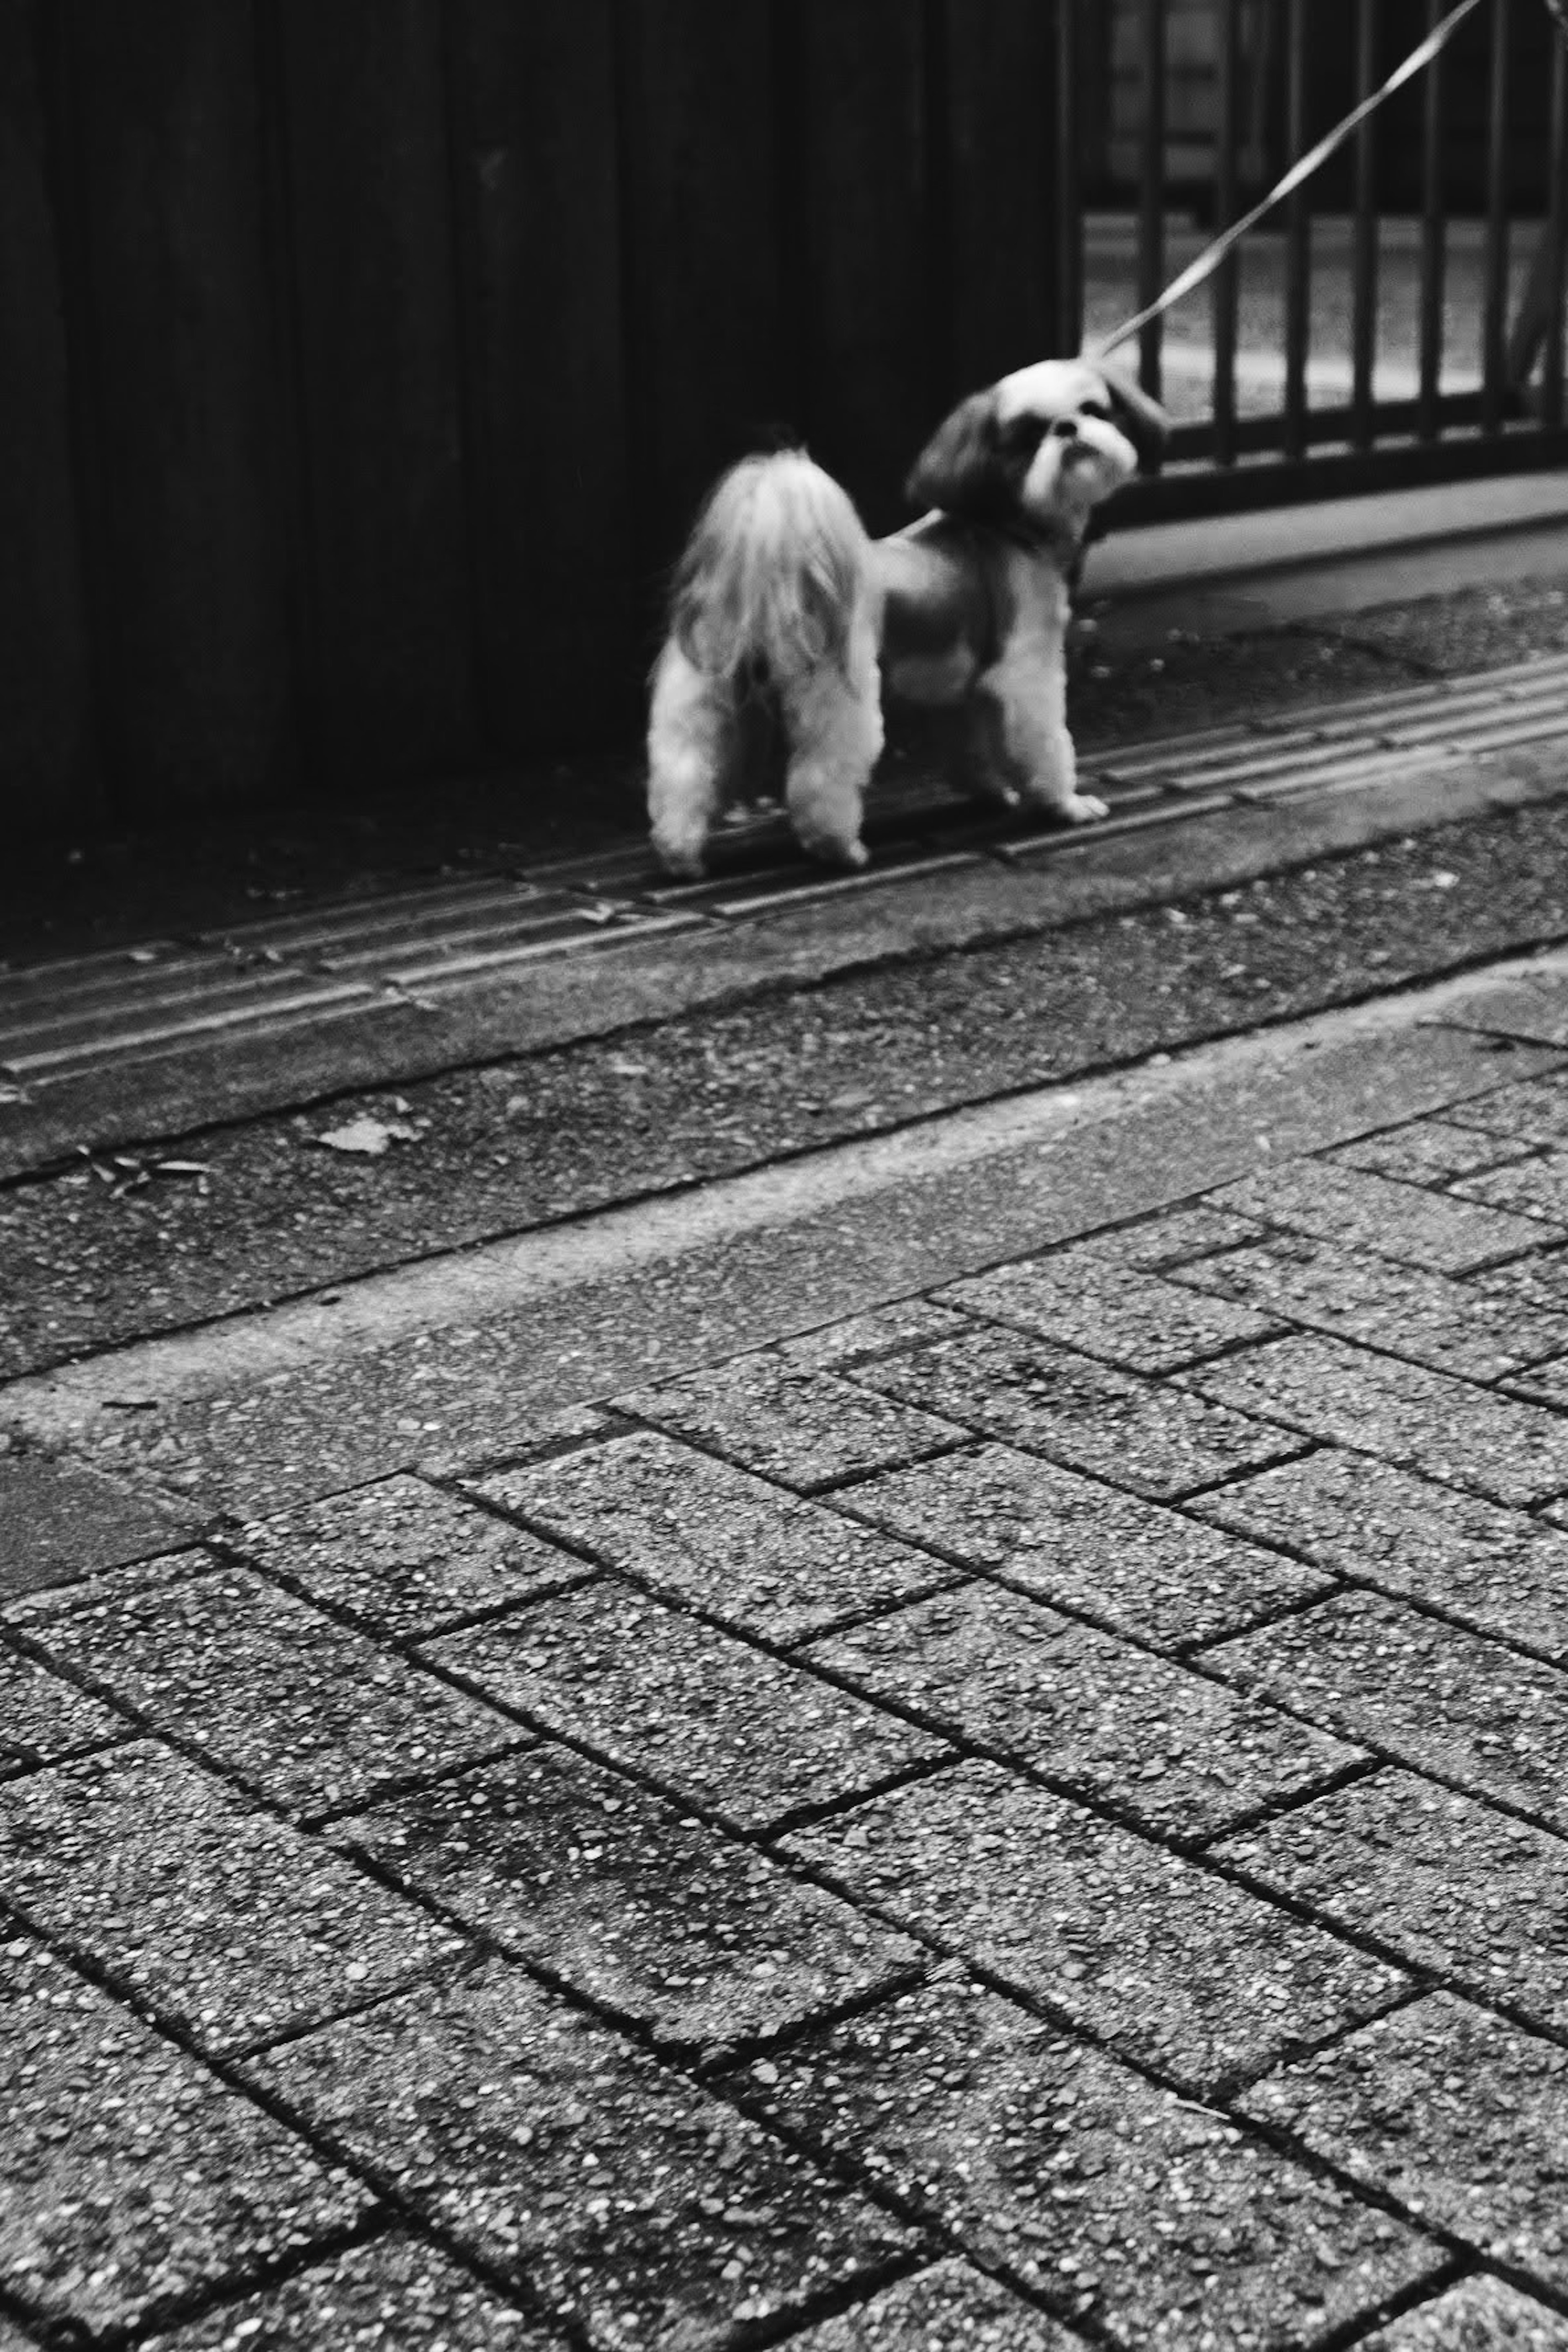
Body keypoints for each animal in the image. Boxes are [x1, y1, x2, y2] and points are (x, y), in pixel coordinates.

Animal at [644, 357, 1171, 884]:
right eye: (1027, 436)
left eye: (1093, 410)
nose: (1068, 428)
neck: (1007, 525)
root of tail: (770, 581)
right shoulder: (1028, 673)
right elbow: (1047, 743)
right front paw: (1067, 804)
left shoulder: (966, 694)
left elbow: (972, 749)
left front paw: (990, 792)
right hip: (841, 701)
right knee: (819, 780)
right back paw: (840, 849)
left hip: (704, 706)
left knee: (685, 776)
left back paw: (681, 855)